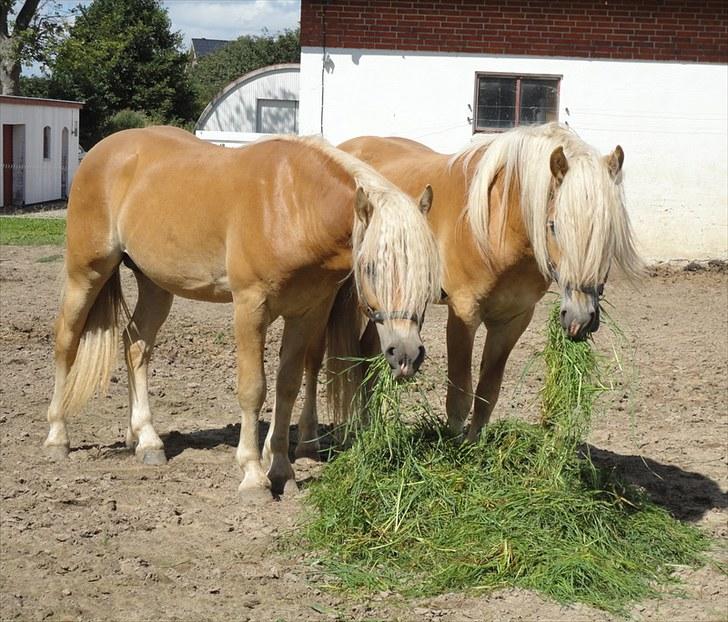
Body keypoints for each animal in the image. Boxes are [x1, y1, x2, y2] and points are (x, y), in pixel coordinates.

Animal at [47, 124, 444, 500]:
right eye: (371, 267)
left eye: (427, 271)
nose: (406, 355)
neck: (291, 204)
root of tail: (100, 152)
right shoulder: (250, 307)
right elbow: (253, 389)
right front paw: (253, 476)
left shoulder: (307, 312)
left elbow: (287, 385)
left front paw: (282, 470)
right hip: (86, 272)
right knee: (67, 340)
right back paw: (57, 436)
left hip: (156, 285)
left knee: (135, 343)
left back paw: (145, 440)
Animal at [296, 123, 644, 454]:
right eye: (554, 226)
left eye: (609, 230)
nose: (580, 320)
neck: (497, 227)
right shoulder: (464, 313)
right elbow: (459, 395)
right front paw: (452, 451)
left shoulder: (513, 320)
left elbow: (488, 393)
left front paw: (475, 450)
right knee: (320, 356)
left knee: (369, 353)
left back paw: (370, 430)